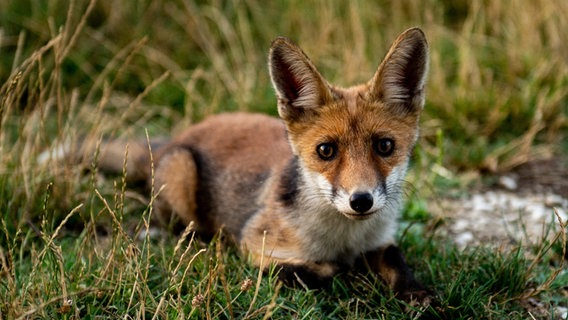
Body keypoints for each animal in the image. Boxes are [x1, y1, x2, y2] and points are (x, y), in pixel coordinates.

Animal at [91, 26, 426, 300]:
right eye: (326, 151)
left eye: (385, 146)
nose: (361, 201)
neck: (346, 239)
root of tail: (174, 138)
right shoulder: (255, 245)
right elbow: (321, 271)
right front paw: (347, 271)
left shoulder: (381, 240)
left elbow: (398, 263)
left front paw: (418, 295)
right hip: (181, 172)